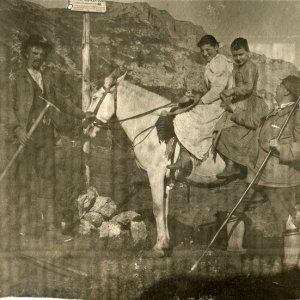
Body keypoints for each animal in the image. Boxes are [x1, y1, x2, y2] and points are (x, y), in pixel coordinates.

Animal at [85, 75, 226, 255]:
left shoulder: (155, 174)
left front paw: (158, 248)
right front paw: (165, 243)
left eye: (95, 98)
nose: (85, 125)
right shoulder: (164, 179)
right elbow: (164, 210)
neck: (150, 126)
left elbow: (157, 208)